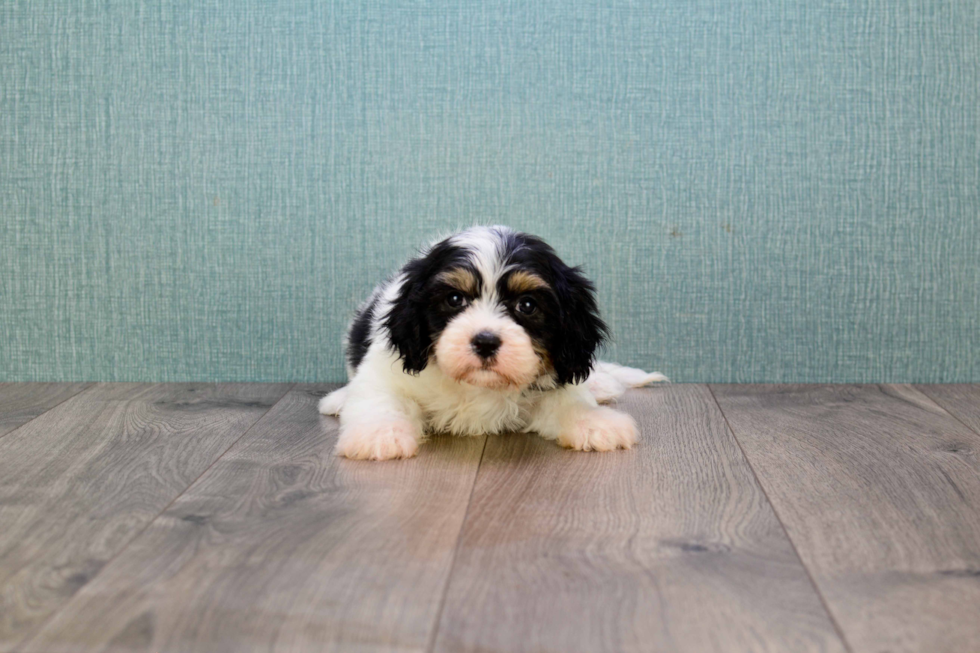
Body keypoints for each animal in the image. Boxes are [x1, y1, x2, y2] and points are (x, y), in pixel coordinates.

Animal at [322, 227, 668, 460]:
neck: (479, 386)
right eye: (454, 299)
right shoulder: (387, 370)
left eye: (527, 305)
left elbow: (568, 400)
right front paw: (379, 434)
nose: (485, 342)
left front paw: (594, 422)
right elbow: (381, 397)